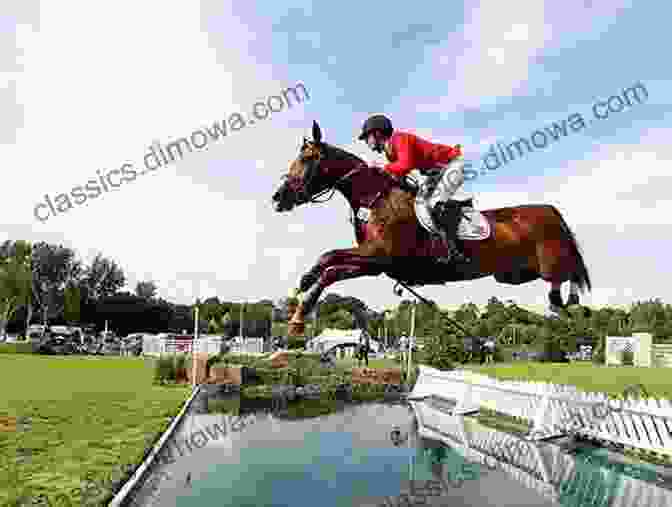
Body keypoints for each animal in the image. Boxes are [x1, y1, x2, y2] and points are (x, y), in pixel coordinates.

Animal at [270, 122, 592, 338]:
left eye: (307, 159)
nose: (277, 198)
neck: (375, 198)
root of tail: (549, 210)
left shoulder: (380, 256)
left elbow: (331, 266)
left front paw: (299, 315)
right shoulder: (374, 262)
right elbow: (330, 262)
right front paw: (302, 289)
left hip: (547, 260)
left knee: (568, 274)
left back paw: (571, 306)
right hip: (514, 274)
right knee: (565, 277)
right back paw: (569, 306)